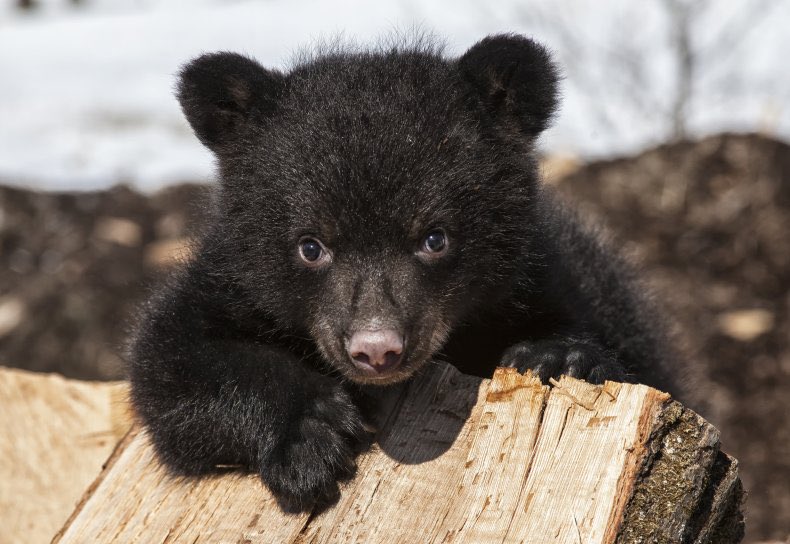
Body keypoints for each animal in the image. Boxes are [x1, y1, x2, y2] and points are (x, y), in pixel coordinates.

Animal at [128, 33, 681, 513]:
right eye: (311, 246)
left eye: (434, 238)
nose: (377, 350)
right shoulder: (230, 281)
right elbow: (169, 362)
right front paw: (311, 436)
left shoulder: (552, 281)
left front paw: (555, 356)